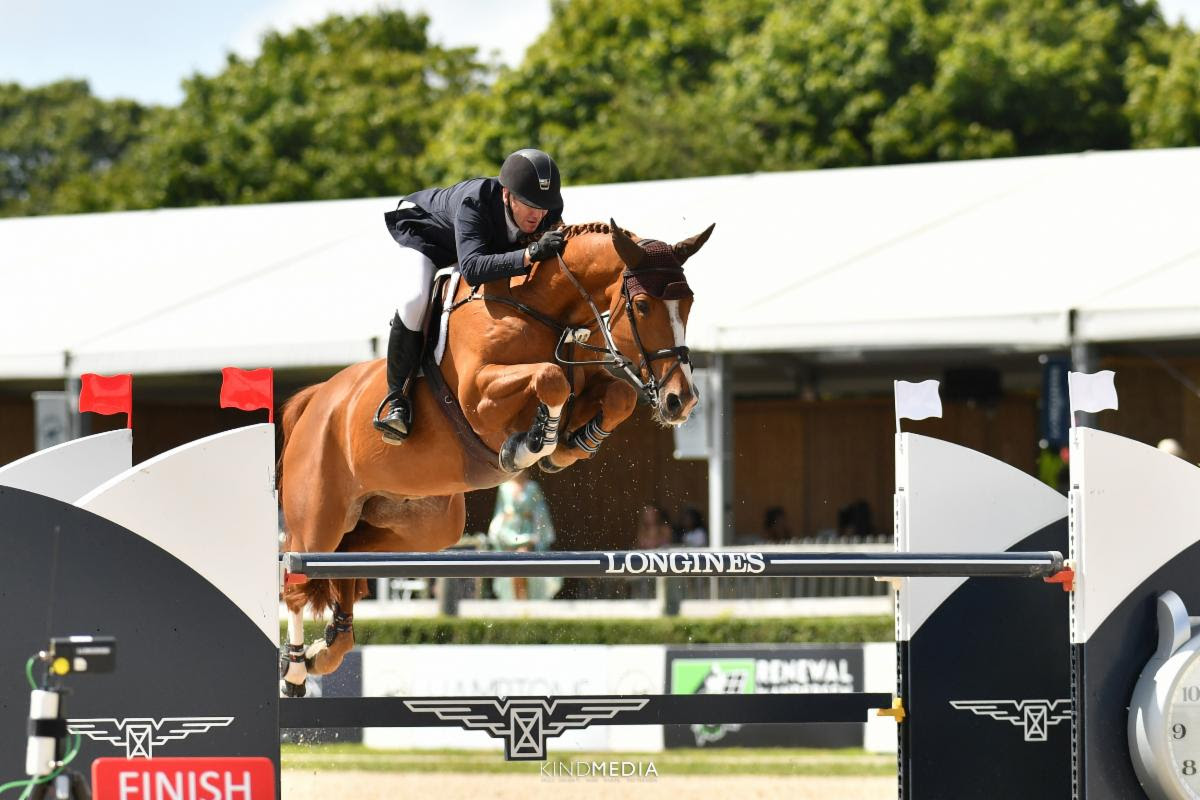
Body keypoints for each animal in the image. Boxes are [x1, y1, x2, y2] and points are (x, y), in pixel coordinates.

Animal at [278, 219, 710, 695]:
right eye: (643, 306)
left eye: (689, 303)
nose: (681, 401)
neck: (542, 311)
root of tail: (316, 399)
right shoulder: (480, 396)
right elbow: (551, 378)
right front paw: (529, 445)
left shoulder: (589, 382)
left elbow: (615, 396)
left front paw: (568, 446)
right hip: (318, 518)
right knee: (297, 583)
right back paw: (295, 669)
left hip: (418, 526)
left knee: (347, 561)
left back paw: (326, 650)